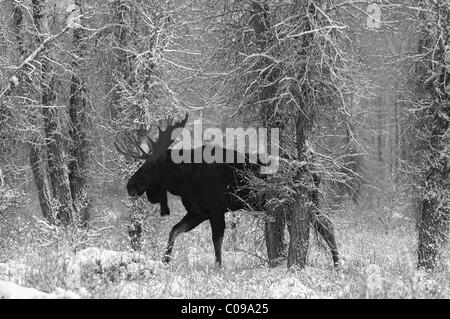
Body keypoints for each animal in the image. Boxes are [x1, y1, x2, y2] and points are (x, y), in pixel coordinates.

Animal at [114, 115, 340, 268]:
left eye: (150, 165)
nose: (130, 185)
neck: (182, 181)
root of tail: (316, 174)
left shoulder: (215, 210)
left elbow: (217, 241)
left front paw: (218, 268)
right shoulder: (197, 212)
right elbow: (174, 230)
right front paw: (165, 260)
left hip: (300, 202)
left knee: (326, 226)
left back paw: (338, 264)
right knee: (324, 226)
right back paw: (336, 263)